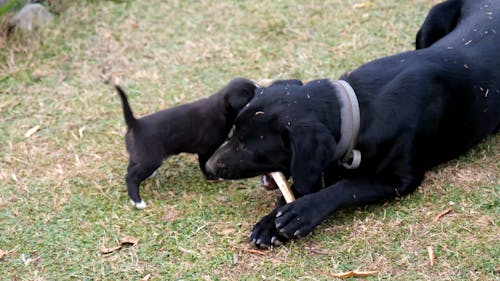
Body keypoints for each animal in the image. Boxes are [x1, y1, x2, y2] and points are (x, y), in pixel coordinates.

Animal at [116, 78, 258, 208]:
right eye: (252, 94)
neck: (222, 108)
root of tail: (135, 124)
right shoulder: (206, 150)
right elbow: (204, 164)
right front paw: (211, 178)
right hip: (150, 160)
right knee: (130, 177)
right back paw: (138, 202)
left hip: (138, 156)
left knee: (130, 169)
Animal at [204, 0, 500, 246]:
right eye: (234, 131)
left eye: (250, 146)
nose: (208, 167)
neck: (356, 111)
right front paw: (270, 222)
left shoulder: (402, 179)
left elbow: (349, 187)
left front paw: (302, 211)